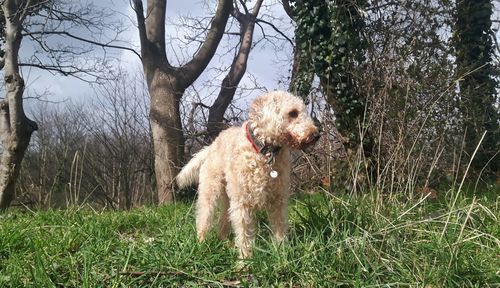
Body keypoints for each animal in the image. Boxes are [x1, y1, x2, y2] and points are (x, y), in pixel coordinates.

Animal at [176, 91, 320, 260]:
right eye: (293, 113)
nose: (316, 135)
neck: (265, 154)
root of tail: (210, 147)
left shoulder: (278, 201)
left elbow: (280, 229)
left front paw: (282, 254)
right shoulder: (243, 204)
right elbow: (244, 235)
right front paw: (245, 261)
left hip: (228, 199)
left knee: (222, 221)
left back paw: (225, 243)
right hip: (210, 193)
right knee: (203, 218)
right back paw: (201, 244)